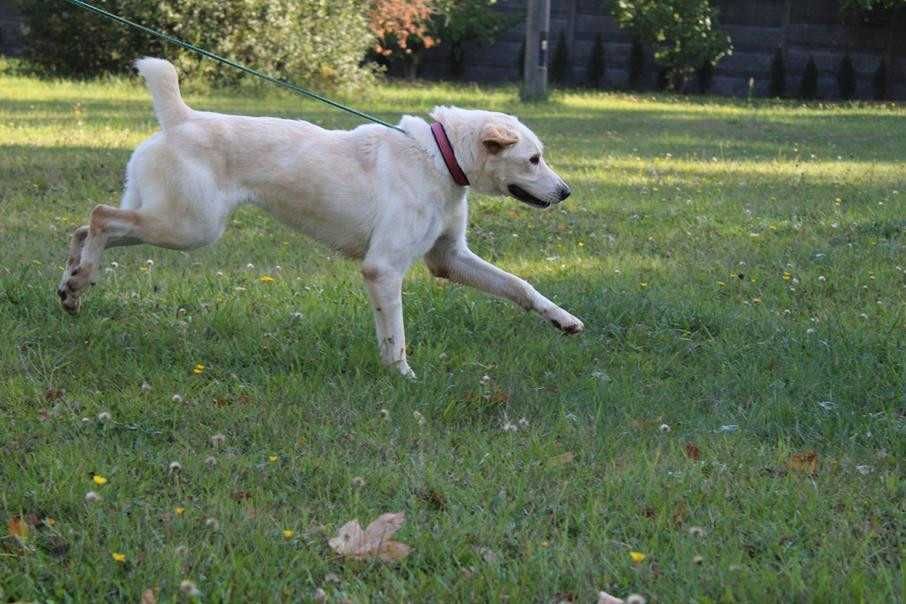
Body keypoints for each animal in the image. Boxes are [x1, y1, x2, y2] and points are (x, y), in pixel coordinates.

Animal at [61, 57, 588, 378]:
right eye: (534, 159)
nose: (566, 192)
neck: (439, 157)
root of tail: (182, 119)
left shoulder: (449, 259)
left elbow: (520, 287)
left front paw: (562, 320)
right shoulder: (383, 269)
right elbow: (396, 336)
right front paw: (403, 377)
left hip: (169, 219)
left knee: (87, 226)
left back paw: (72, 283)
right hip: (189, 227)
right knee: (100, 216)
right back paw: (80, 278)